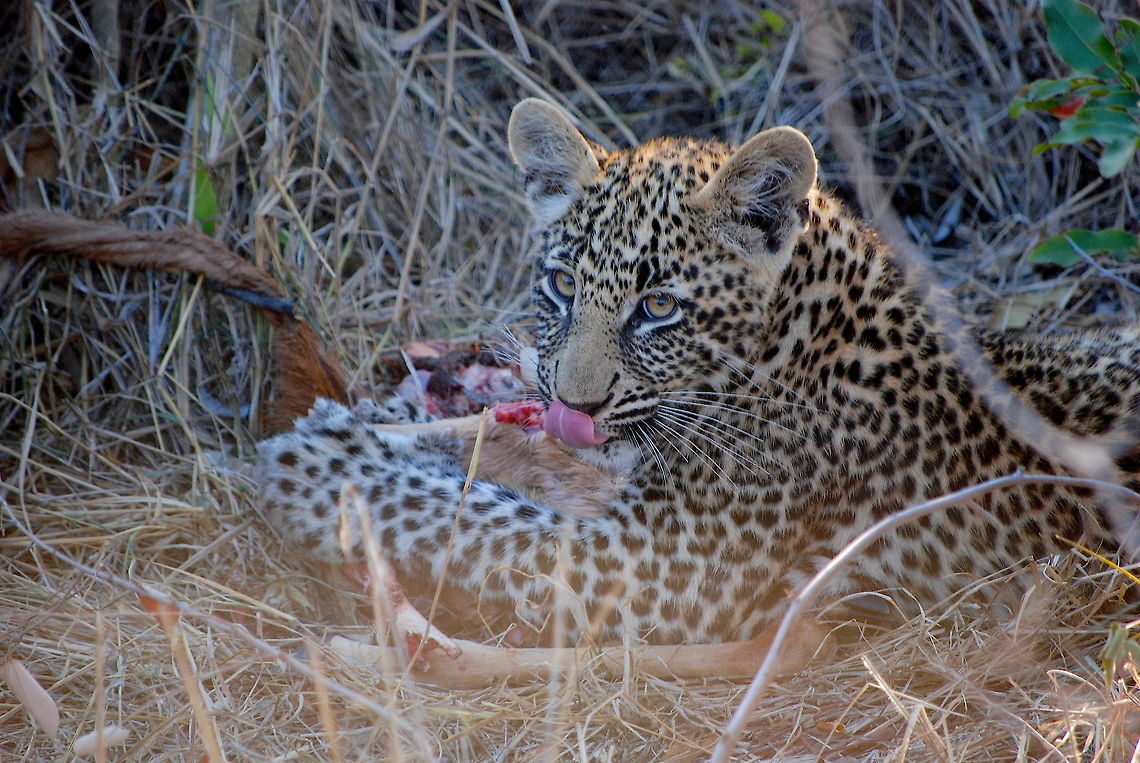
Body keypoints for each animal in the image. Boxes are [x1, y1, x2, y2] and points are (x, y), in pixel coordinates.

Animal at [256, 98, 1140, 646]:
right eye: (563, 285)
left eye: (657, 307)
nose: (571, 401)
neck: (794, 341)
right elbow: (490, 466)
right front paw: (371, 428)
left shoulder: (668, 567)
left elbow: (479, 519)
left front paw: (325, 468)